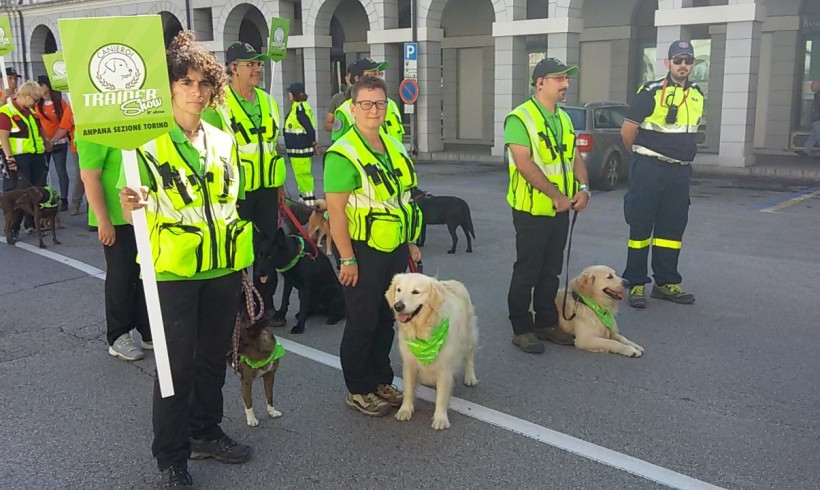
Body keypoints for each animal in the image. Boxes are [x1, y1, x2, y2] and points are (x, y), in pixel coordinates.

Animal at [386, 274, 478, 430]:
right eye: (398, 290)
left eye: (416, 292)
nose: (398, 306)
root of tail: (454, 282)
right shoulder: (409, 365)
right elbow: (408, 390)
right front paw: (405, 410)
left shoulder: (445, 368)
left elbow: (441, 397)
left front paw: (440, 419)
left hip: (468, 337)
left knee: (469, 357)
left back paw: (470, 377)